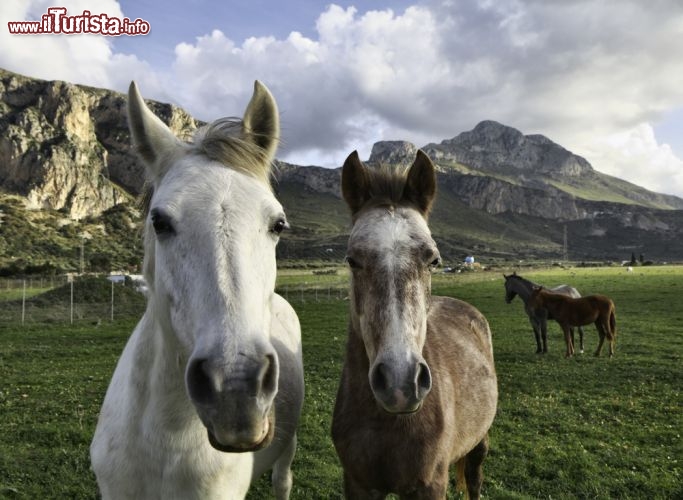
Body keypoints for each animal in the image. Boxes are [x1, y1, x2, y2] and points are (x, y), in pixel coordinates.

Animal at [332, 150, 496, 498]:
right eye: (352, 260)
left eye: (433, 259)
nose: (401, 384)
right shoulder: (357, 483)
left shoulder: (430, 485)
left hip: (479, 443)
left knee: (474, 479)